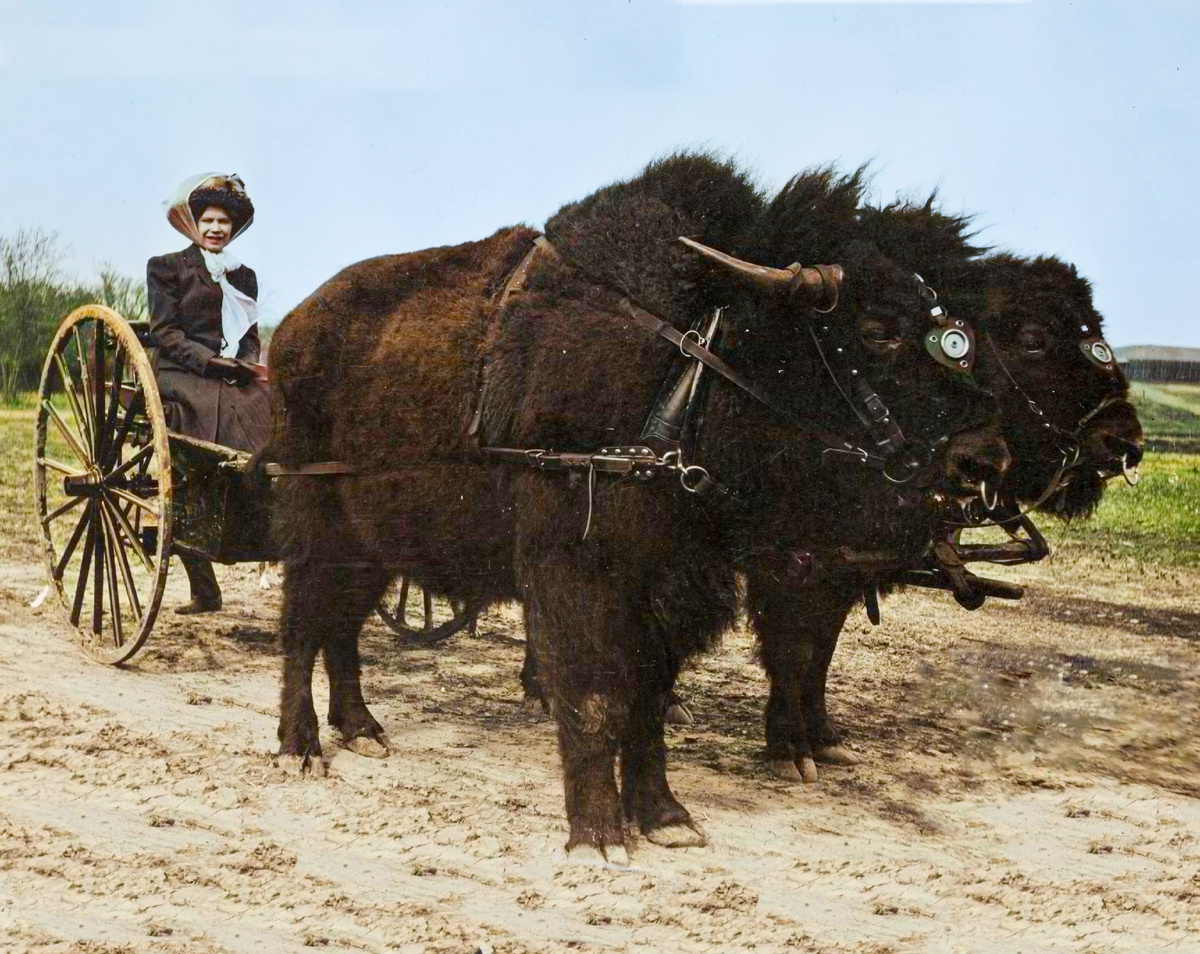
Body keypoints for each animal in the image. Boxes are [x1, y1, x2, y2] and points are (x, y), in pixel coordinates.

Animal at [267, 154, 1008, 859]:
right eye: (878, 330)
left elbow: (649, 701)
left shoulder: (675, 587)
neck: (692, 369)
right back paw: (302, 747)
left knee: (341, 628)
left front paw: (665, 819)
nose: (985, 459)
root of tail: (292, 330)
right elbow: (596, 696)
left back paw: (362, 730)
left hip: (374, 547)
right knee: (305, 626)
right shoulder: (578, 576)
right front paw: (597, 836)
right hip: (317, 526)